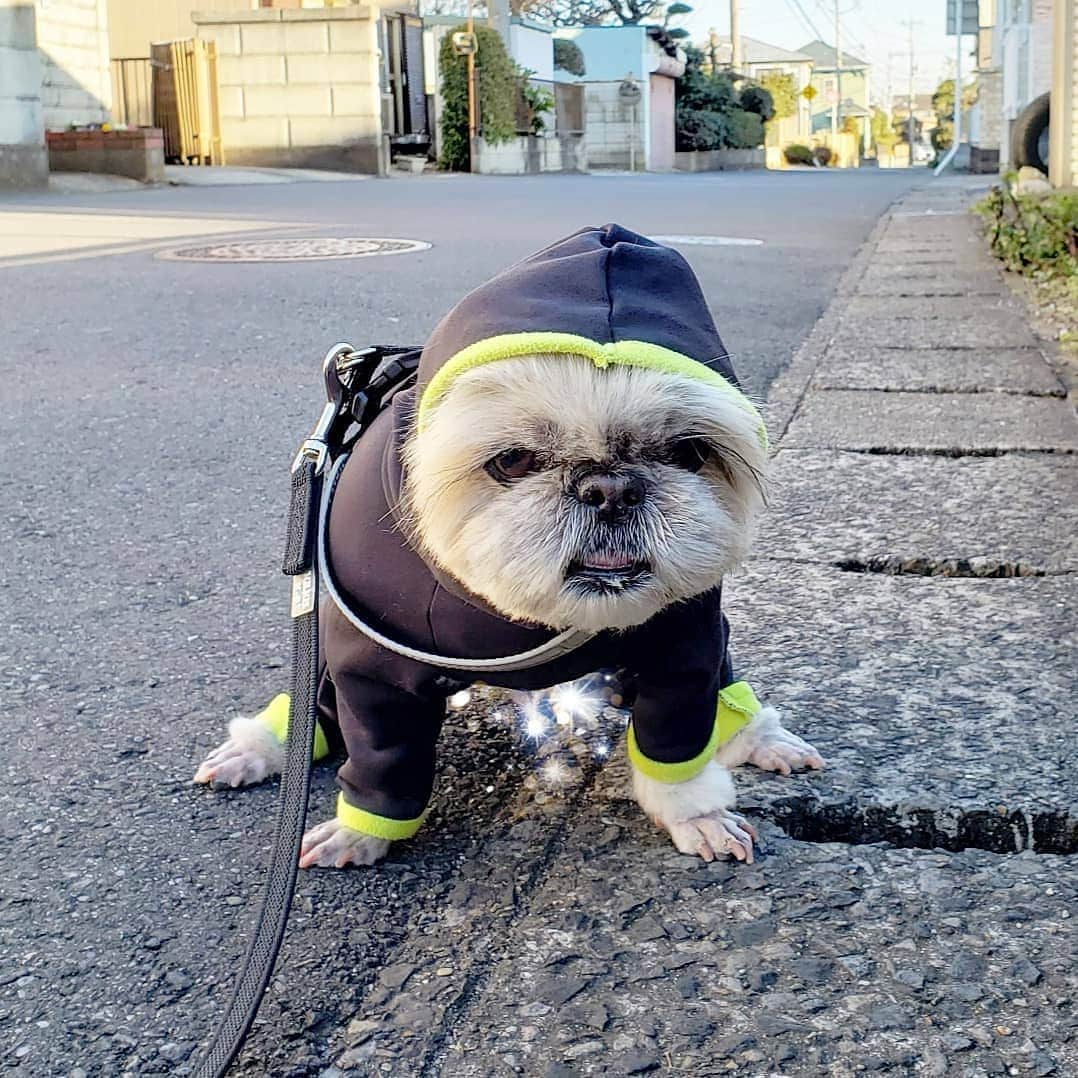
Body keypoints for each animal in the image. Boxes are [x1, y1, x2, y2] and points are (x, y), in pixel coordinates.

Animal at [194, 225, 819, 866]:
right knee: (313, 707)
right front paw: (362, 831)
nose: (610, 489)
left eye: (688, 452)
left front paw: (697, 815)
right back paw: (260, 747)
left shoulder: (683, 648)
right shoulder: (372, 673)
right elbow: (380, 760)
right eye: (513, 460)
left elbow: (677, 749)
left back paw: (758, 734)